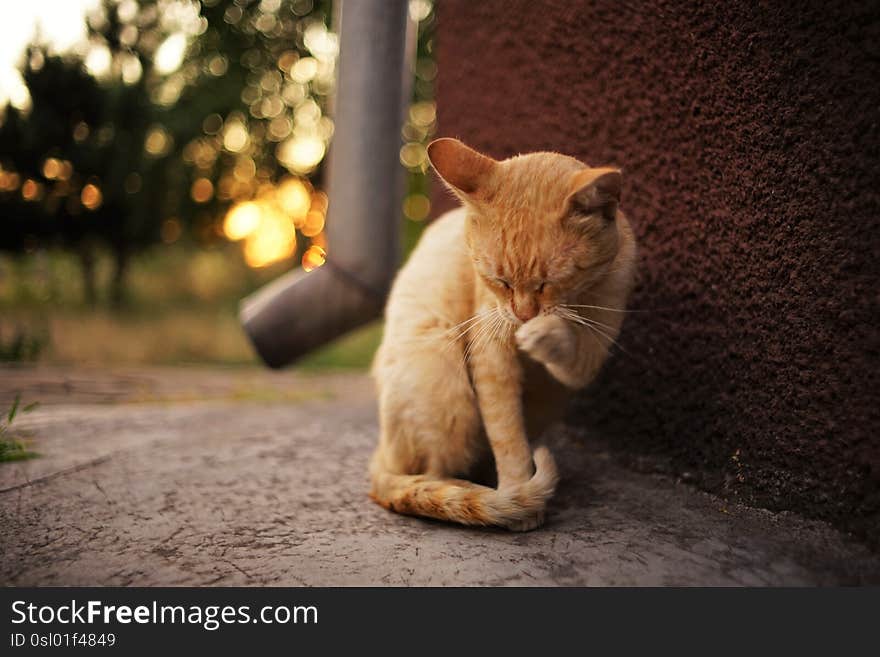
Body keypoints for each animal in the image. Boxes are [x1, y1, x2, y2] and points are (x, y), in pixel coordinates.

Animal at [368, 137, 636, 528]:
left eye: (548, 283)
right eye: (499, 280)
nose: (523, 315)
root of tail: (381, 454)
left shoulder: (591, 353)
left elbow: (571, 347)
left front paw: (547, 333)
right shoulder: (491, 357)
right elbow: (507, 434)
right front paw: (517, 493)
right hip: (443, 383)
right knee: (425, 474)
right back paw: (476, 493)